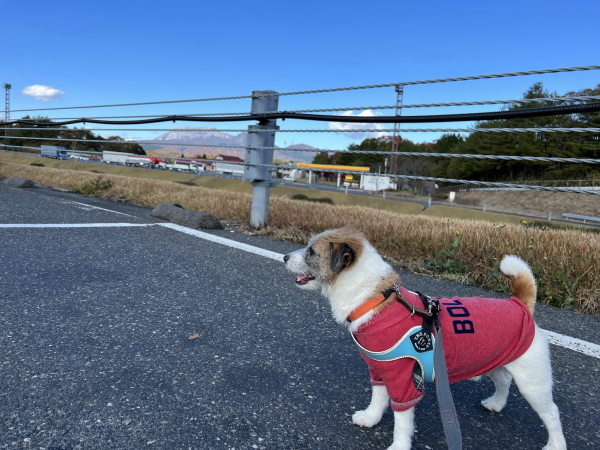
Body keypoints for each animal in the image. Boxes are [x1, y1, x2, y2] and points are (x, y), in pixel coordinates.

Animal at [286, 227, 568, 450]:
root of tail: (519, 304)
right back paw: (496, 404)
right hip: (497, 361)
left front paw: (399, 446)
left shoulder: (404, 380)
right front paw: (371, 418)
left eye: (311, 252)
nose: (286, 256)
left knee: (552, 413)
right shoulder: (380, 370)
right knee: (504, 381)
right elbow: (378, 399)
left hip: (533, 382)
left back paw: (555, 444)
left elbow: (401, 419)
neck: (373, 299)